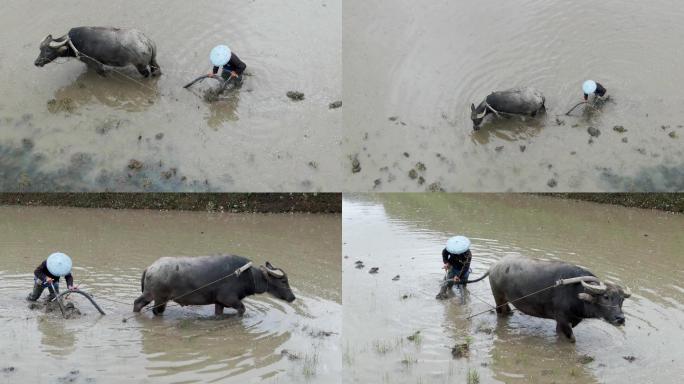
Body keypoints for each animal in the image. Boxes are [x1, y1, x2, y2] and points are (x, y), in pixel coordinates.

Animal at [132, 256, 296, 316]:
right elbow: (242, 309)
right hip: (158, 297)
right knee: (149, 308)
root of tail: (150, 267)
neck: (245, 275)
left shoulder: (219, 302)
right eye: (283, 281)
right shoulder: (229, 299)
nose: (293, 297)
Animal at [480, 258, 632, 342]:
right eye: (606, 297)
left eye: (621, 300)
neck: (576, 293)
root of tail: (494, 266)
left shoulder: (566, 321)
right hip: (498, 297)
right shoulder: (563, 319)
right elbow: (572, 339)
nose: (621, 319)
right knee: (500, 312)